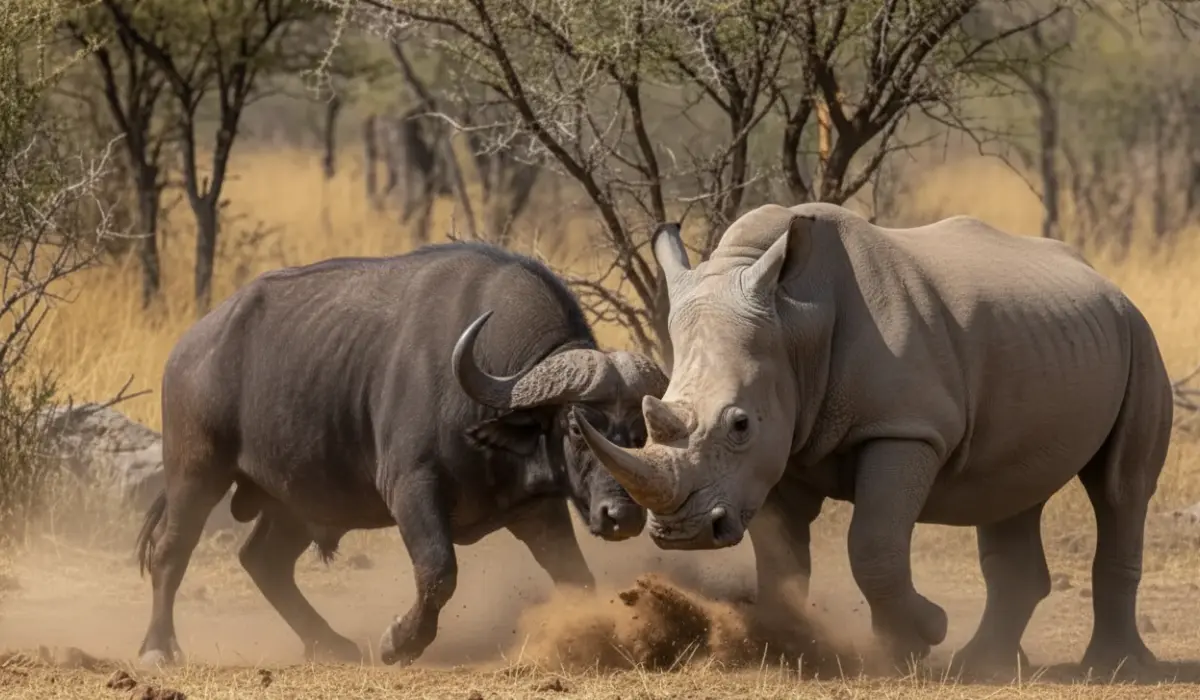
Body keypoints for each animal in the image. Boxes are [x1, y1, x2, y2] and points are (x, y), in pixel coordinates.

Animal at [134, 242, 666, 668]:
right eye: (577, 427)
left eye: (639, 431)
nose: (622, 516)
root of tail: (191, 346)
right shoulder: (412, 488)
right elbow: (438, 572)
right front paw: (400, 642)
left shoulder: (537, 510)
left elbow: (576, 578)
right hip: (195, 472)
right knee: (170, 551)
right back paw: (157, 648)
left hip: (295, 502)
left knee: (263, 560)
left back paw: (329, 643)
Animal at [579, 203, 1173, 675]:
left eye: (740, 424)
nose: (684, 533)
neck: (796, 324)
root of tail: (1104, 281)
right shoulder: (783, 447)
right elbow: (781, 556)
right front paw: (788, 647)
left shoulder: (905, 428)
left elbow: (872, 544)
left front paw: (915, 640)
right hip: (1046, 338)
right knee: (1011, 491)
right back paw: (987, 665)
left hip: (1139, 336)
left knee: (1121, 489)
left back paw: (1114, 667)